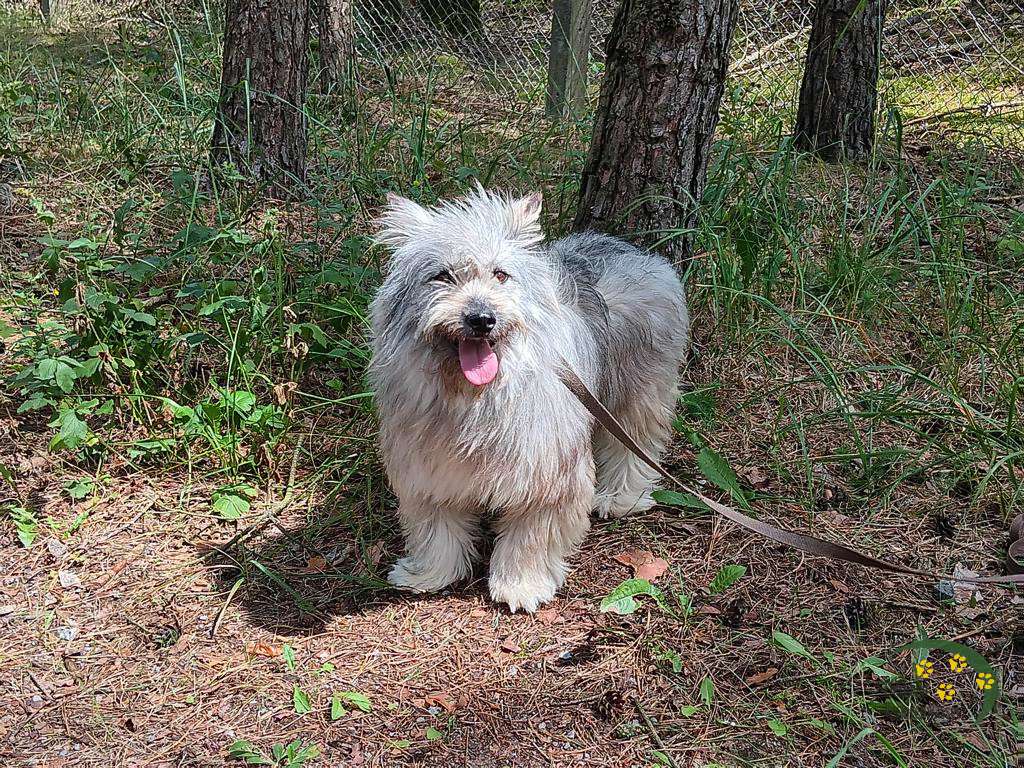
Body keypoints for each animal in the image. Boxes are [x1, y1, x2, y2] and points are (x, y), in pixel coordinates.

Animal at [369, 187, 689, 612]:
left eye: (500, 275)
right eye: (443, 276)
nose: (481, 318)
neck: (477, 396)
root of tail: (626, 247)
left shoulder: (547, 476)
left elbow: (530, 537)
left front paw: (521, 584)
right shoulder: (428, 471)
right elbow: (436, 529)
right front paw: (431, 573)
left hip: (636, 392)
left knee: (635, 444)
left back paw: (622, 495)